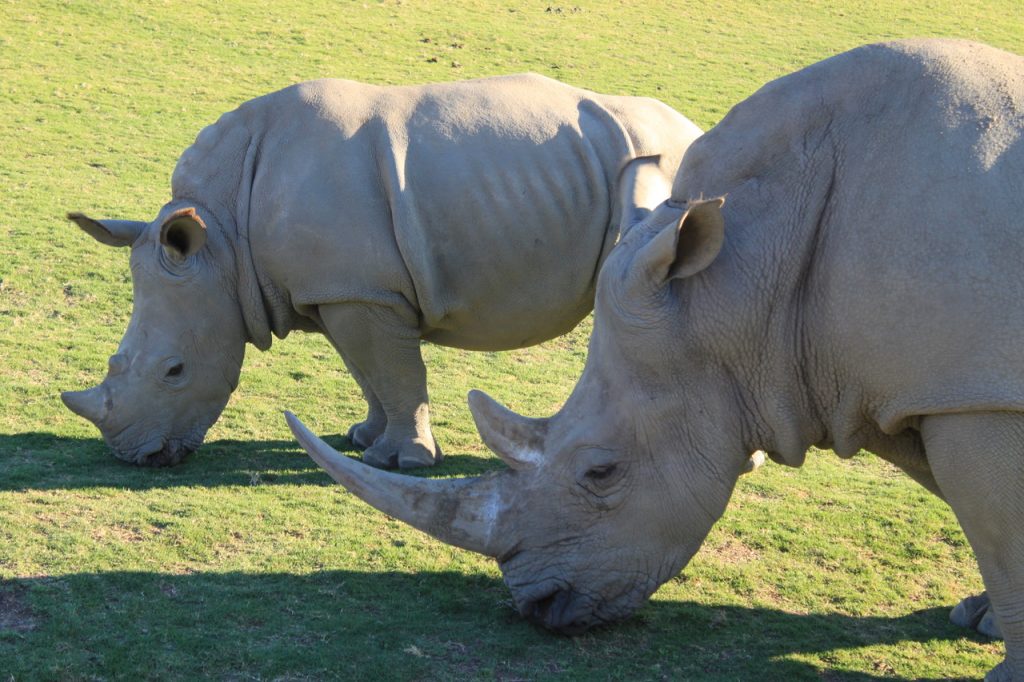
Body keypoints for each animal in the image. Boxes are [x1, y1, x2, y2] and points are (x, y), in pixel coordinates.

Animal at [64, 75, 700, 466]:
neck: (224, 242)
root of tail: (694, 129)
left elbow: (395, 374)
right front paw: (363, 439)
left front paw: (403, 461)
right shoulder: (341, 291)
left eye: (173, 370)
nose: (135, 456)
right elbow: (367, 373)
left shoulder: (365, 293)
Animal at [286, 39, 1024, 675]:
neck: (740, 278)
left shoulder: (968, 393)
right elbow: (974, 516)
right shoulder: (915, 382)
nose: (536, 607)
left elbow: (1000, 532)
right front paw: (979, 619)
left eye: (601, 472)